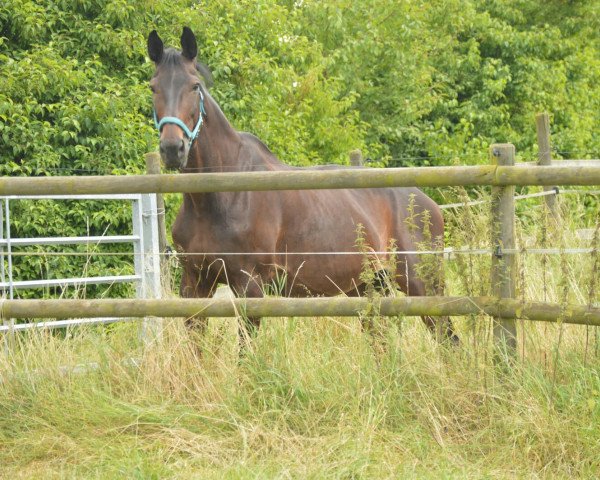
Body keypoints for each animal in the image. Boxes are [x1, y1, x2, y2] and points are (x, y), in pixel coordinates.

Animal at [148, 27, 458, 344]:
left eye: (194, 86)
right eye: (153, 87)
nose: (172, 148)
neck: (219, 197)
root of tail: (429, 204)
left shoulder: (249, 285)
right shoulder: (195, 283)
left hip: (421, 284)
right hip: (369, 287)